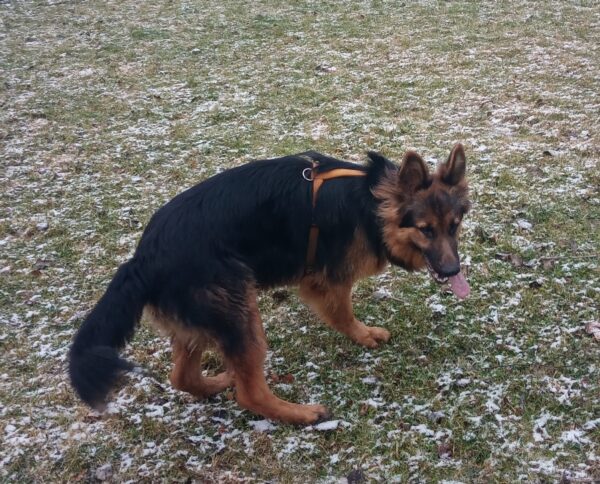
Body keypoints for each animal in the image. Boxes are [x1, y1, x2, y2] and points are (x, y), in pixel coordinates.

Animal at [69, 144, 470, 424]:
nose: (454, 272)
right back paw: (299, 414)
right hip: (241, 314)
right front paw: (365, 335)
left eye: (454, 226)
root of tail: (141, 259)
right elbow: (343, 314)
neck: (372, 204)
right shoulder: (327, 282)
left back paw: (218, 383)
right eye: (426, 230)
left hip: (205, 321)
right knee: (249, 394)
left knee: (182, 376)